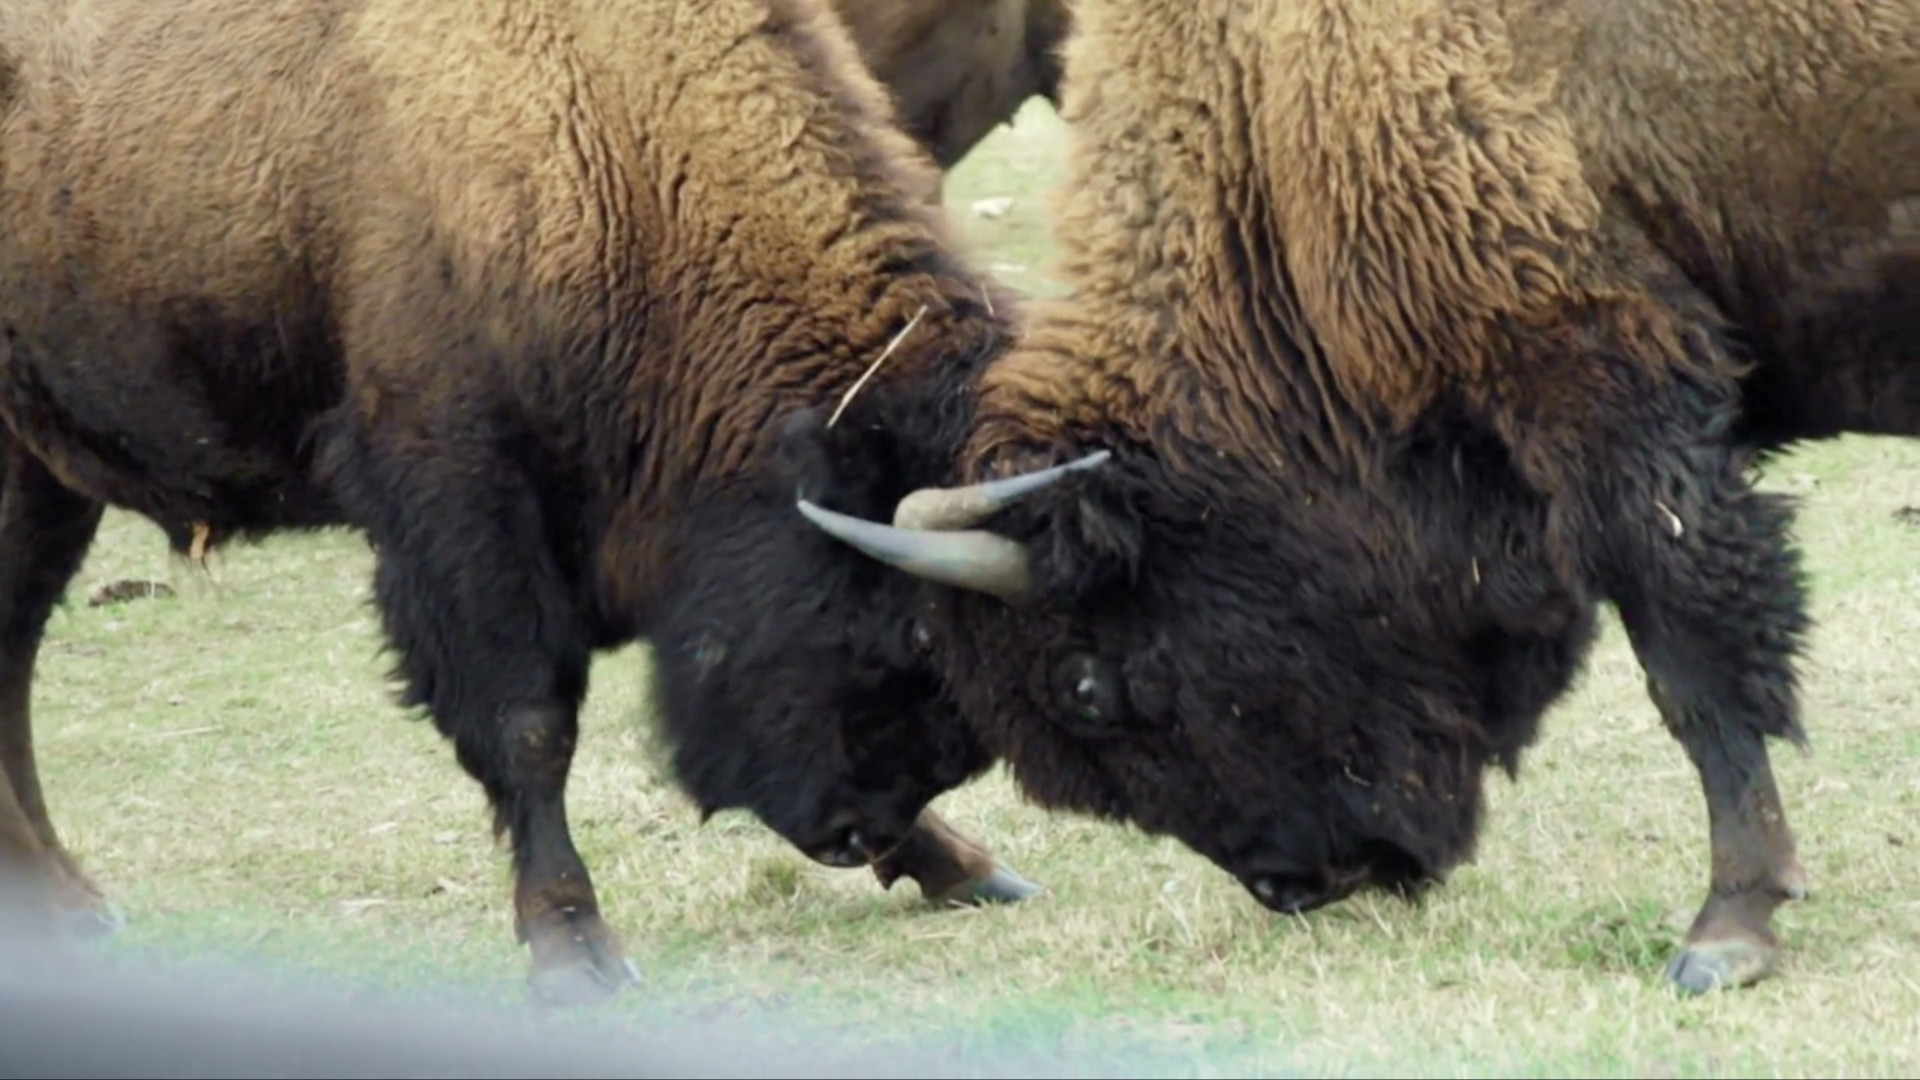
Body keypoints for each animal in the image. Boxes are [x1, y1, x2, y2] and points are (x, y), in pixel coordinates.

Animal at [0, 0, 1071, 1006]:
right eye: (912, 634)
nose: (854, 829)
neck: (611, 141)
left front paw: (967, 868)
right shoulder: (465, 507)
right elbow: (529, 725)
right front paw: (575, 950)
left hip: (43, 483)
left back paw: (70, 908)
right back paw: (67, 907)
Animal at [795, 0, 1917, 994]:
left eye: (1088, 684)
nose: (1297, 884)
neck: (1265, 110)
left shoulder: (1603, 389)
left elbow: (1693, 667)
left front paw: (1728, 932)